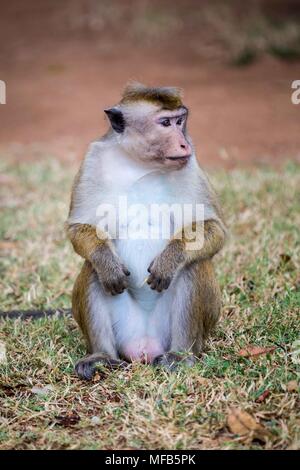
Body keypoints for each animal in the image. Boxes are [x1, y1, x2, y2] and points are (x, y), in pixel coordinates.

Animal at [65, 82, 225, 380]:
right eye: (165, 123)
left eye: (180, 120)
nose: (184, 142)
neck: (141, 164)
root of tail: (144, 347)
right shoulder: (93, 159)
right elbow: (80, 227)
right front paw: (106, 262)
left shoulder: (190, 162)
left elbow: (213, 228)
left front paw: (170, 259)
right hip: (125, 331)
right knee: (93, 269)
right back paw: (102, 356)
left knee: (194, 265)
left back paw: (180, 355)